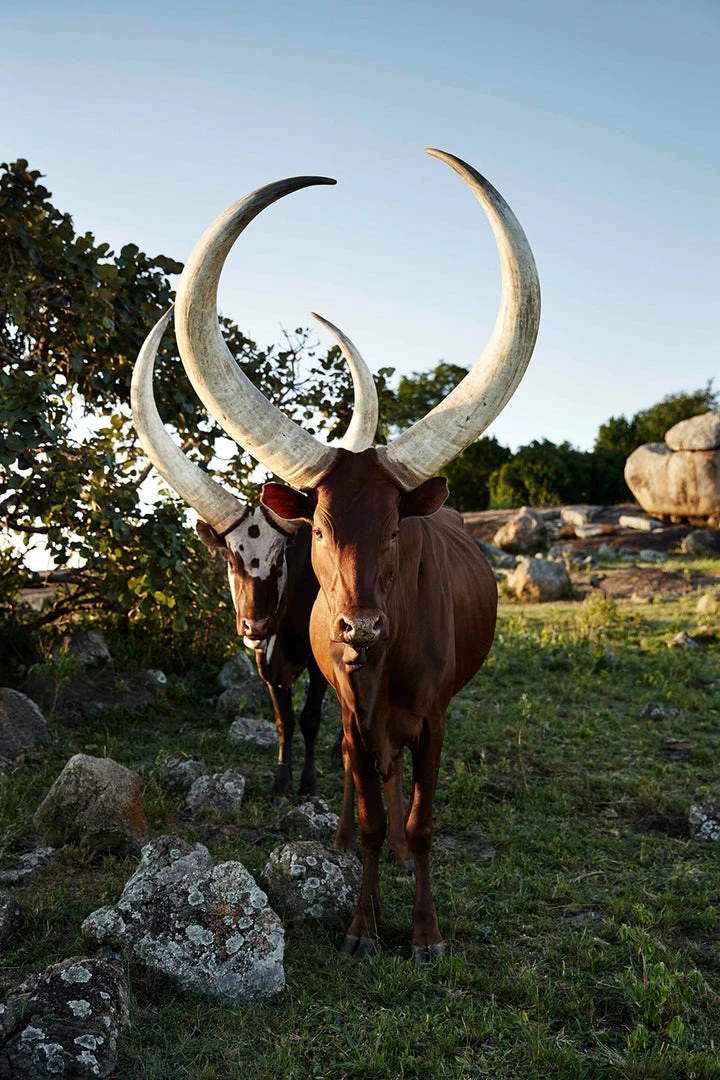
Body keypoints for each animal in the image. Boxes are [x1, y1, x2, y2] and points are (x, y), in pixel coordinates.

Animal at [171, 150, 541, 959]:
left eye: (397, 531)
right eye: (317, 530)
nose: (360, 628)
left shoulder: (434, 719)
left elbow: (424, 823)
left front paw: (426, 933)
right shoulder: (348, 709)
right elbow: (369, 809)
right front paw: (363, 926)